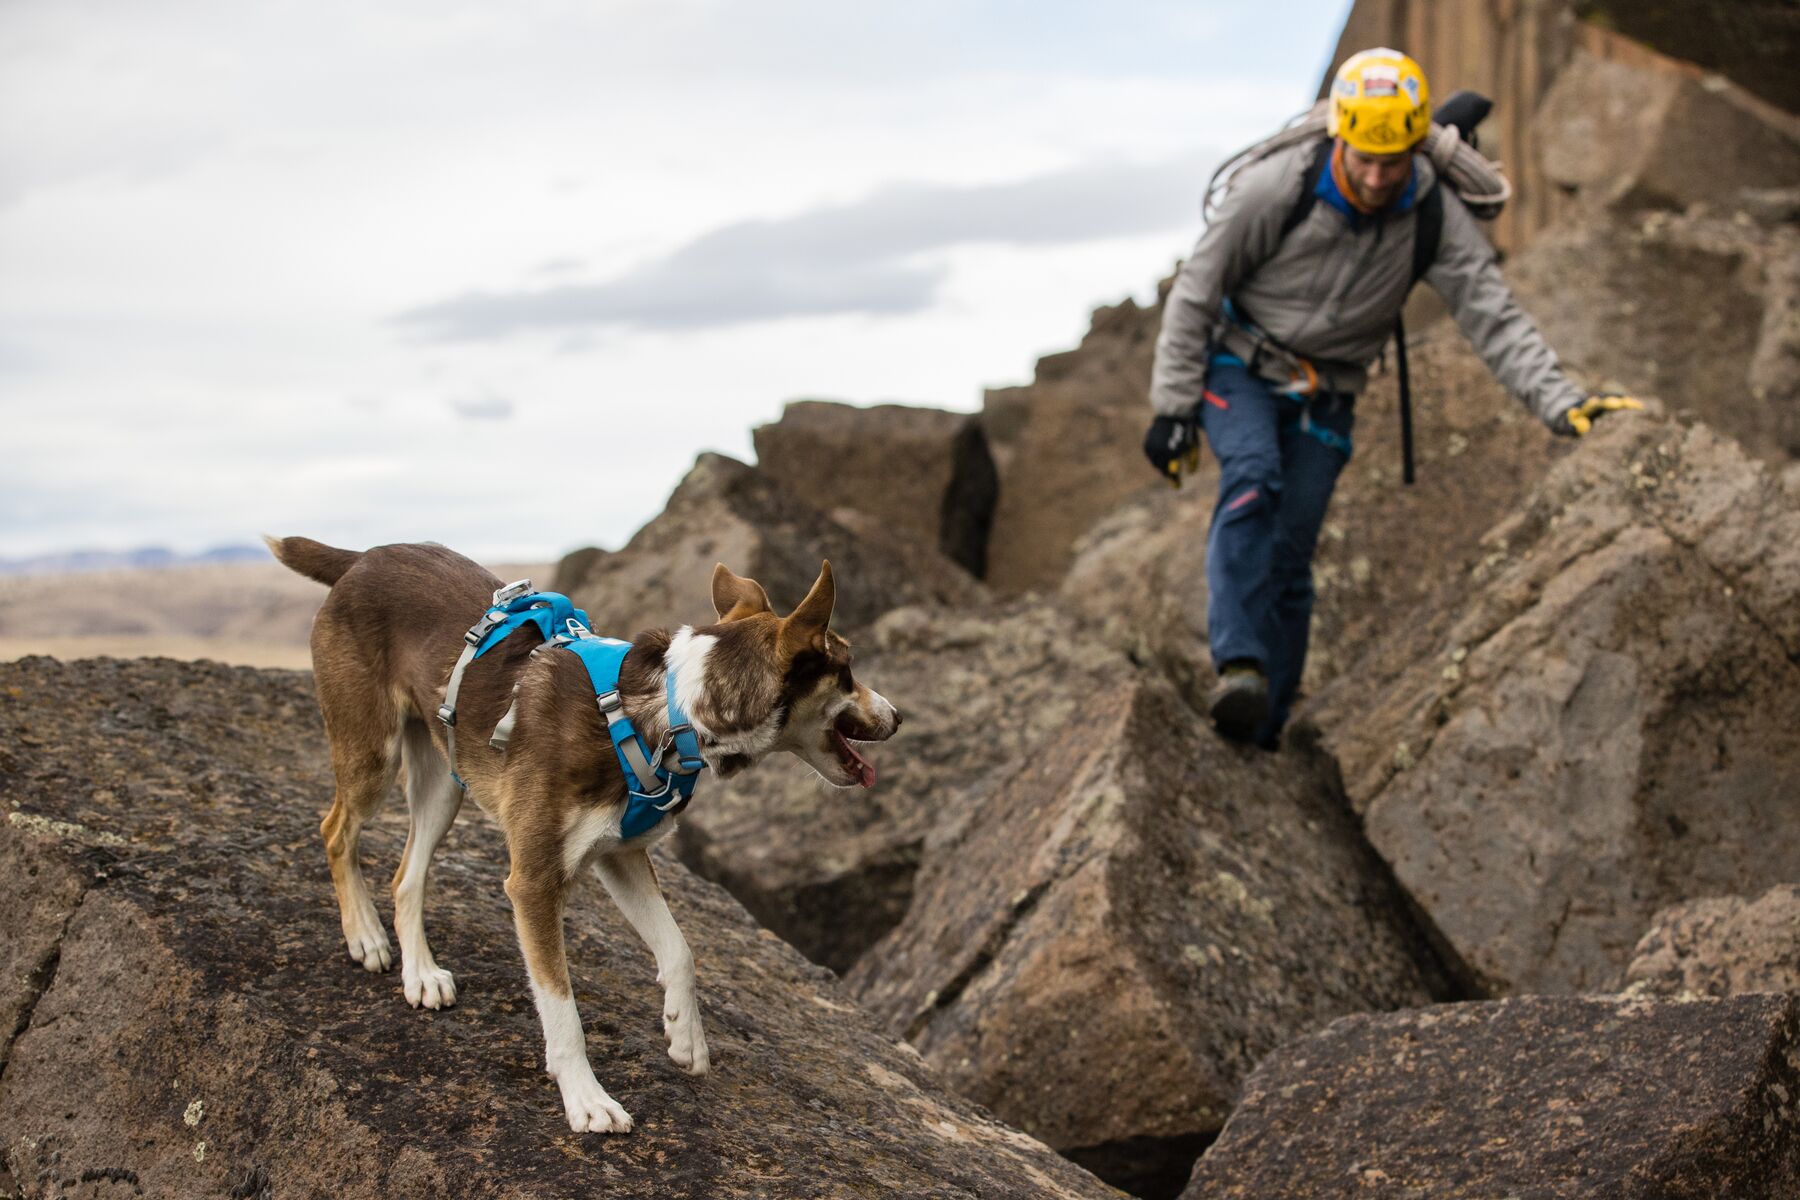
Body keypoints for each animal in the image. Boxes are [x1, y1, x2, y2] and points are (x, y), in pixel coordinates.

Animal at [266, 536, 900, 1137]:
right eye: (848, 671)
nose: (897, 716)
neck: (668, 712)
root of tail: (362, 558)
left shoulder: (621, 854)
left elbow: (681, 949)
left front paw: (685, 1036)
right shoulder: (535, 883)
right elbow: (562, 1006)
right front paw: (587, 1100)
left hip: (445, 783)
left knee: (406, 876)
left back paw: (420, 974)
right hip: (372, 753)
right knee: (335, 830)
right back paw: (366, 937)